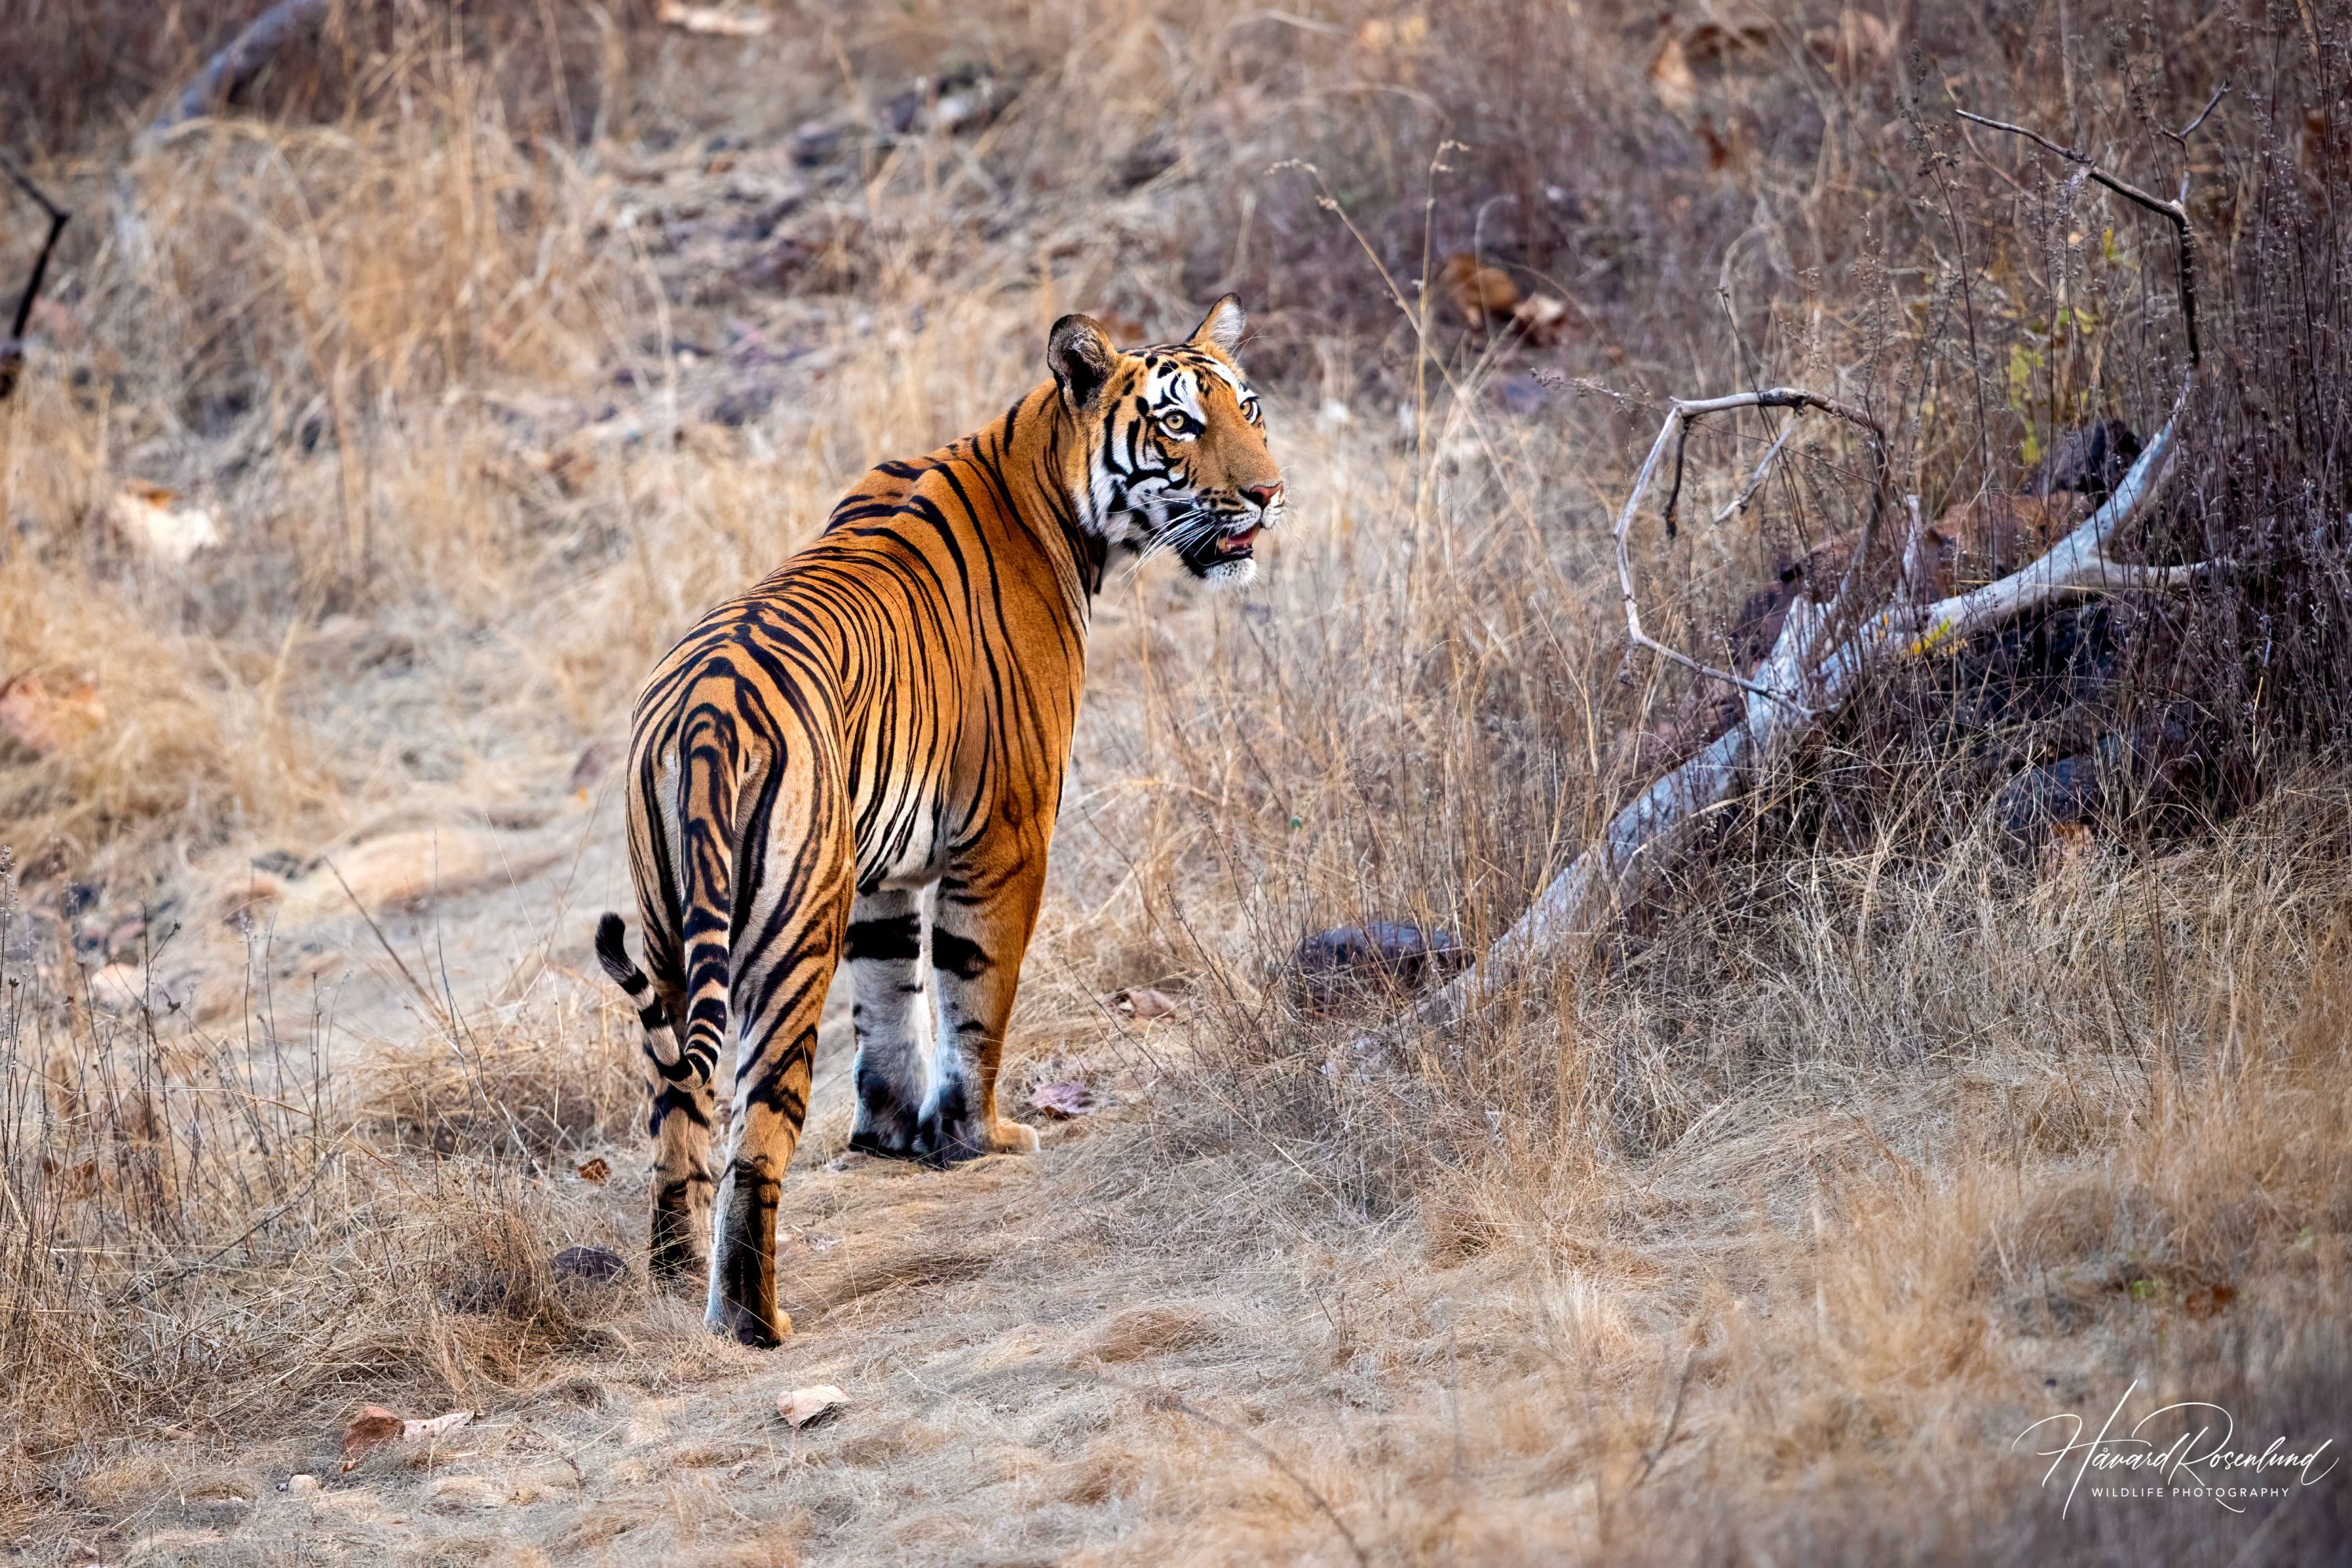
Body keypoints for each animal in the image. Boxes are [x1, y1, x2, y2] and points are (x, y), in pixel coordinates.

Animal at [593, 297, 1283, 1345]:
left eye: (1248, 408)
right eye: (1178, 423)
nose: (1271, 494)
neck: (1043, 479)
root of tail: (703, 715)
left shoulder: (878, 876)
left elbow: (890, 1004)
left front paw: (890, 1137)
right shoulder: (1008, 836)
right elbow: (975, 999)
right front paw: (977, 1137)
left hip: (673, 932)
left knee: (677, 1116)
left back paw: (674, 1281)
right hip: (789, 934)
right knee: (756, 1137)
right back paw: (754, 1320)